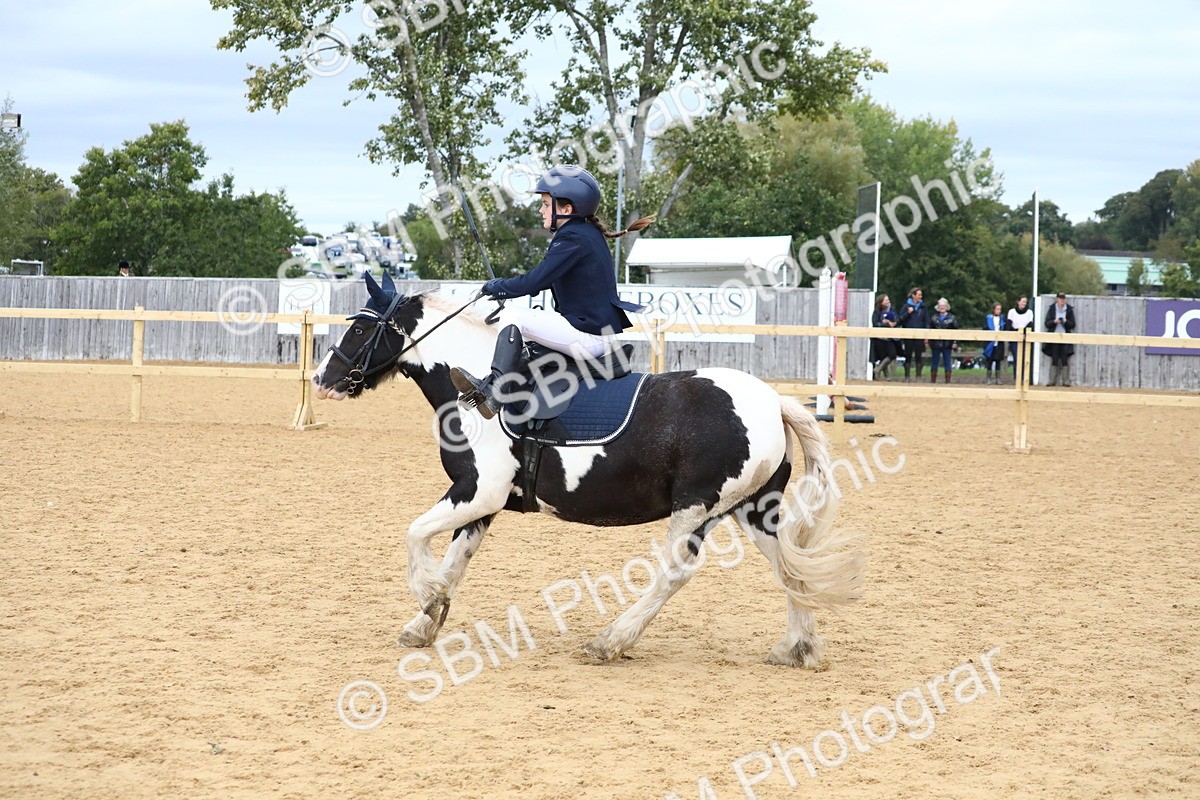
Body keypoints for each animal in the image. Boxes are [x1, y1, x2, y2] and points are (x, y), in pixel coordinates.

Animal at [311, 273, 864, 667]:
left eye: (358, 327)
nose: (321, 379)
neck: (476, 384)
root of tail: (773, 401)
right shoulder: (482, 502)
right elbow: (453, 560)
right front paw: (426, 620)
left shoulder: (477, 491)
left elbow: (414, 535)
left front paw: (427, 597)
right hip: (752, 510)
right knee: (786, 564)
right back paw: (799, 649)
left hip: (697, 507)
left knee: (675, 572)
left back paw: (611, 641)